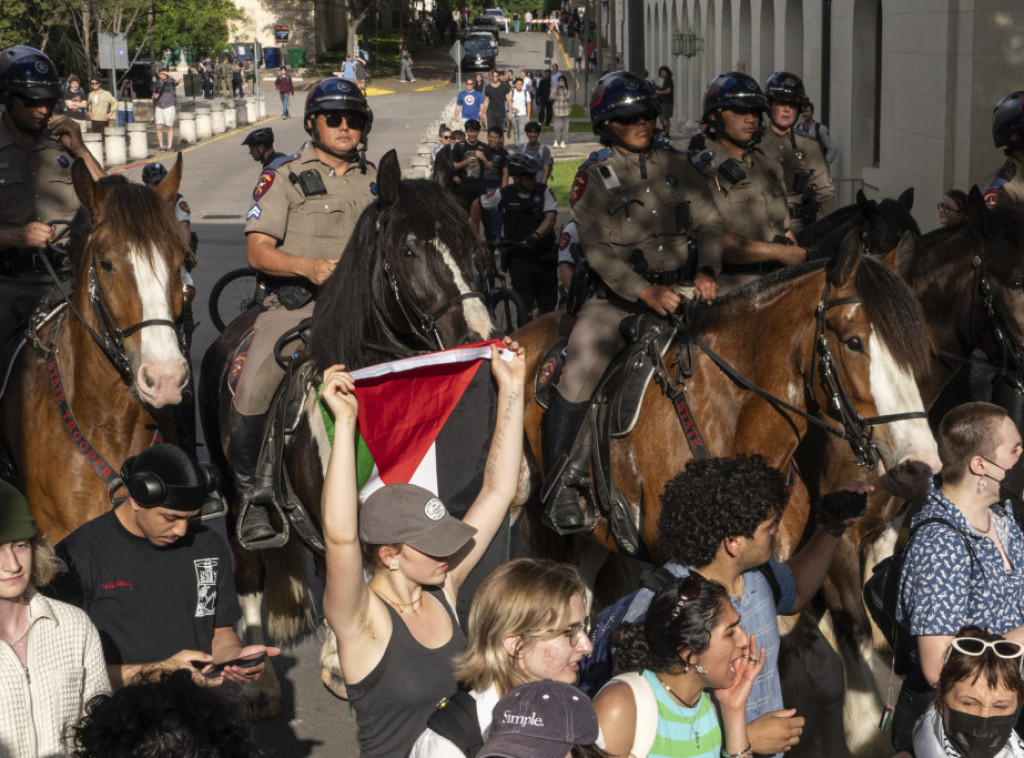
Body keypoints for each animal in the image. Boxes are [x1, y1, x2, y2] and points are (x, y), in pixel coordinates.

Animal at [197, 148, 497, 704]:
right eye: (408, 249)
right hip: (234, 493)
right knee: (250, 571)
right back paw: (261, 678)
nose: (478, 335)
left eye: (475, 249)